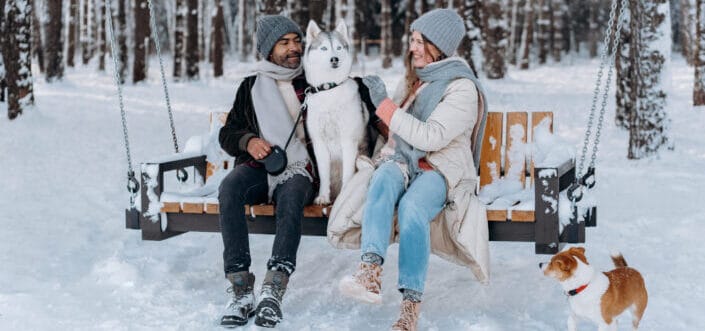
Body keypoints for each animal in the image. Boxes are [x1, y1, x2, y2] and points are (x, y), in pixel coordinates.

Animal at [302, 20, 368, 205]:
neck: (329, 89)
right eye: (324, 48)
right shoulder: (319, 144)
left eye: (338, 48)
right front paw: (323, 197)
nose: (334, 59)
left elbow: (348, 174)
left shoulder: (348, 142)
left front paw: (343, 196)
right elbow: (324, 176)